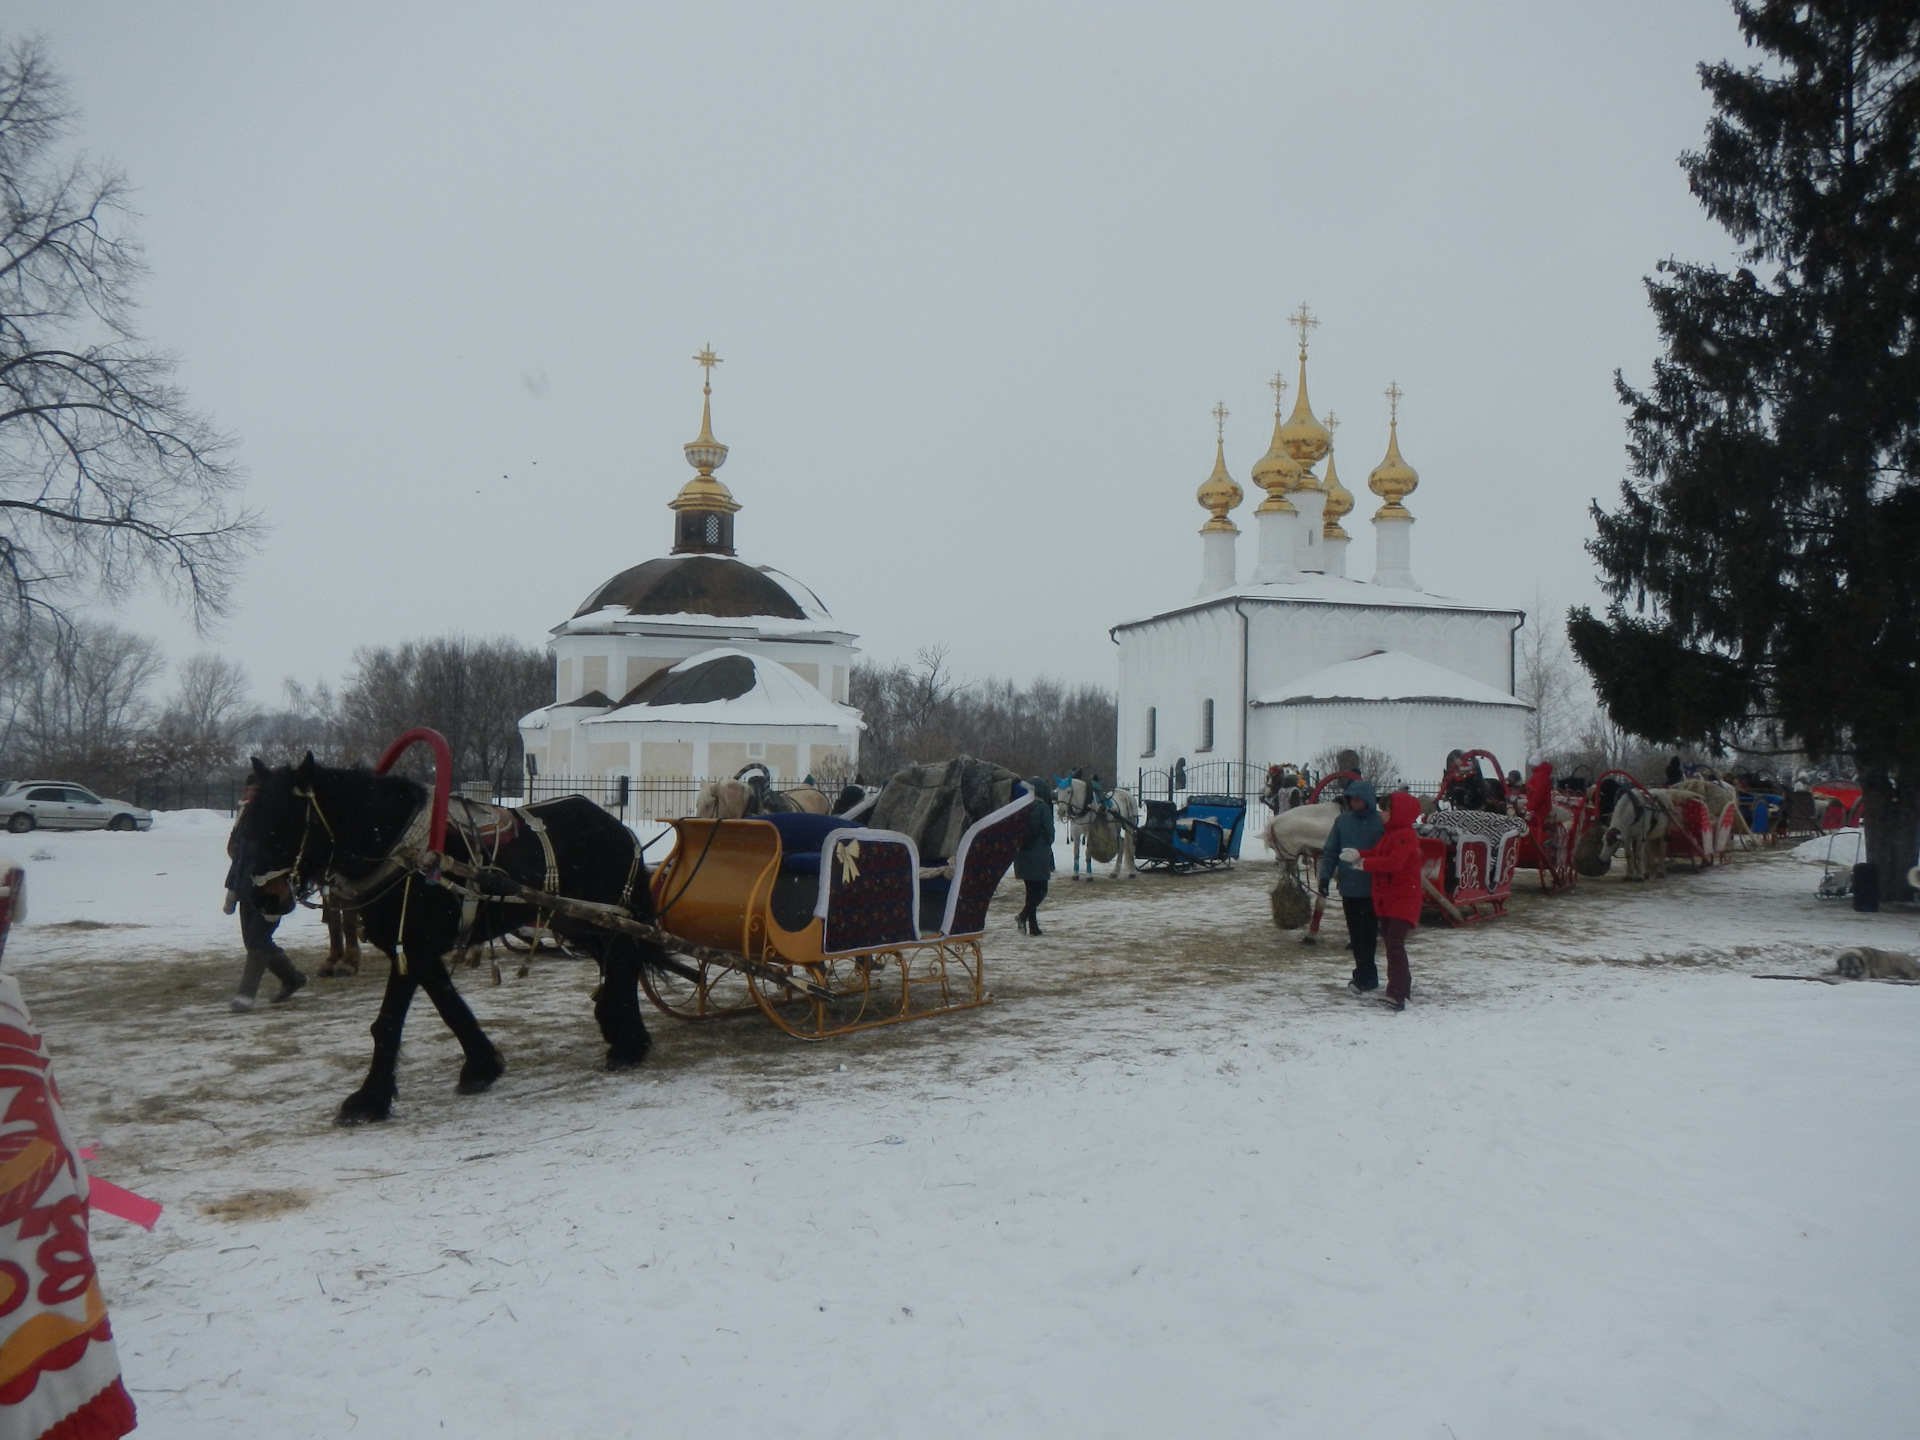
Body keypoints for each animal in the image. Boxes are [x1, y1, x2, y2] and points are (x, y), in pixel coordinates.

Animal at [239, 756, 664, 1128]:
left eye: (288, 822)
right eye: (251, 824)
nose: (264, 898)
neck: (399, 848)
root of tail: (617, 827)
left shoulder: (412, 946)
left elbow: (389, 1023)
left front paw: (369, 1099)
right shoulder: (415, 952)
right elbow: (448, 1007)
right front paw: (481, 1066)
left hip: (602, 916)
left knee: (624, 958)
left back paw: (629, 1044)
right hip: (578, 919)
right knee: (616, 960)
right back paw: (618, 1027)